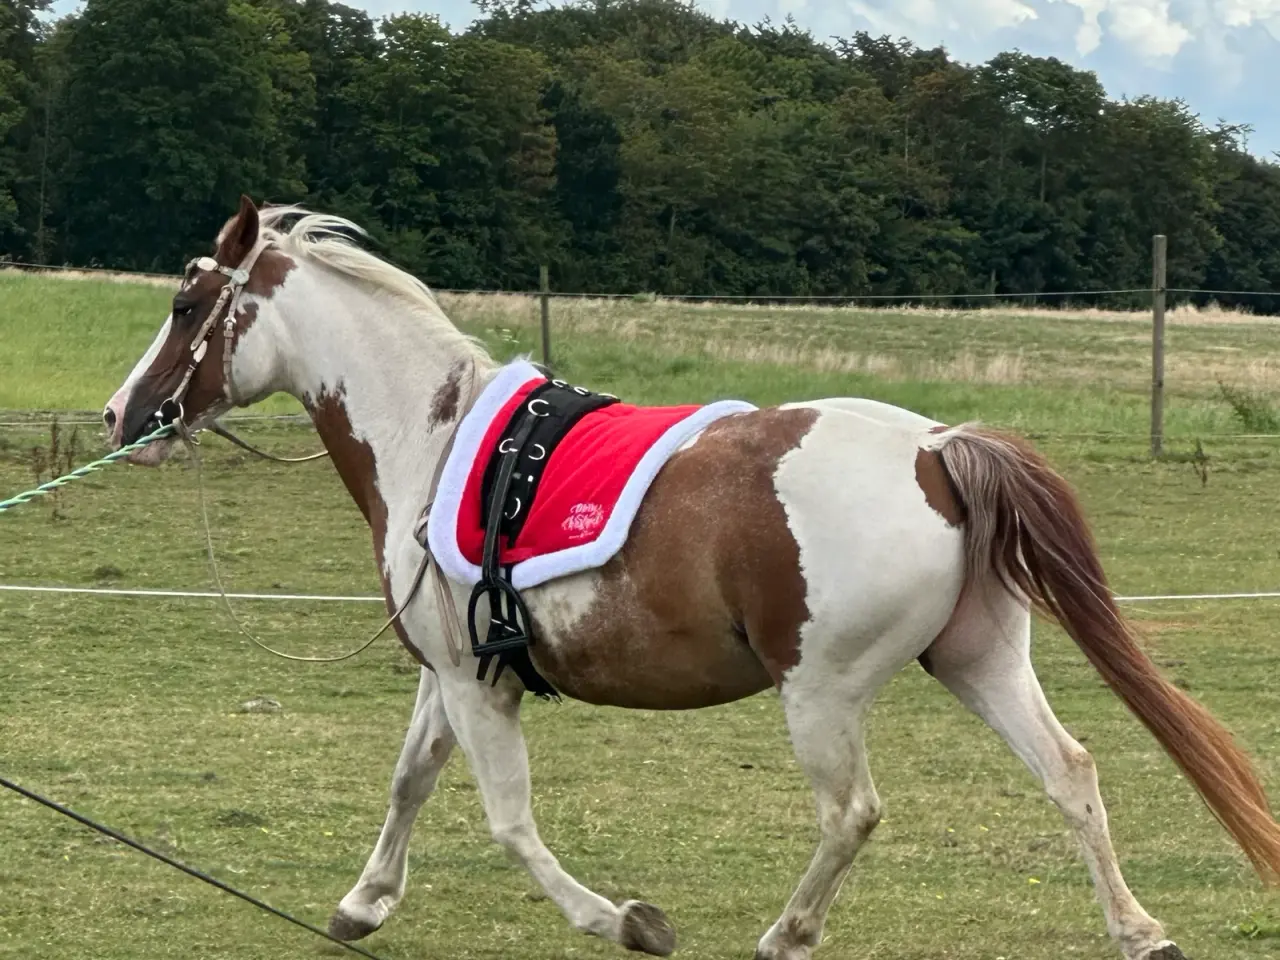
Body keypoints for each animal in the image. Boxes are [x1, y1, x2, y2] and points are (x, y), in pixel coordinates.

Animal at [103, 196, 1280, 960]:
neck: (431, 441)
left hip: (821, 694)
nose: (123, 415)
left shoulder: (477, 688)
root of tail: (935, 447)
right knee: (1071, 773)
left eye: (183, 305)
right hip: (978, 662)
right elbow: (410, 782)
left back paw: (788, 934)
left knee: (851, 813)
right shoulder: (450, 677)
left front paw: (623, 920)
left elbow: (507, 823)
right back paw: (1135, 930)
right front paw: (362, 906)